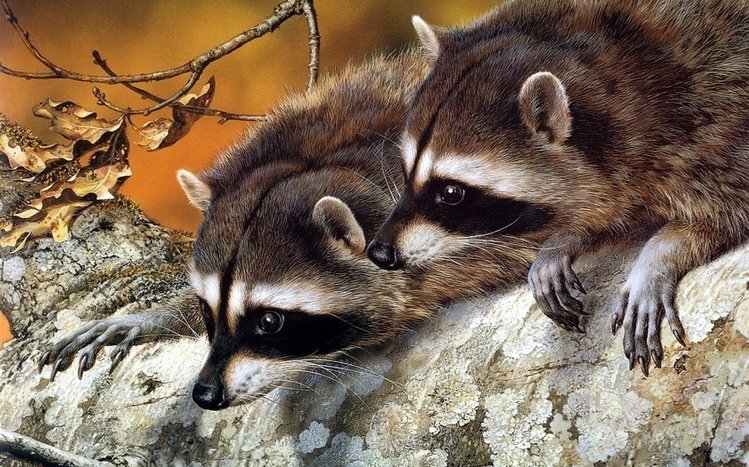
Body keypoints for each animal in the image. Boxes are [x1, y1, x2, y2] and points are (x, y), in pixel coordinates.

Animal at [368, 1, 749, 375]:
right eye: (404, 170)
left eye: (450, 193)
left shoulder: (715, 122)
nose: (379, 253)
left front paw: (656, 258)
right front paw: (564, 239)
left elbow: (726, 216)